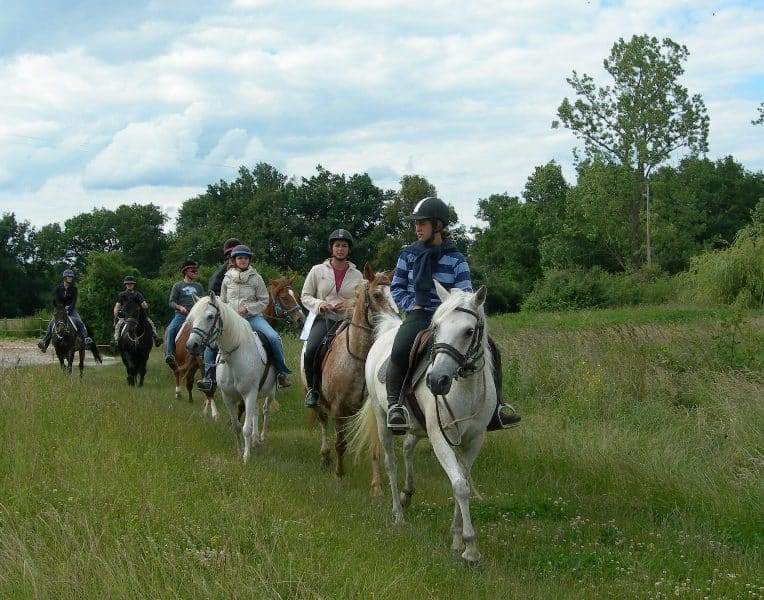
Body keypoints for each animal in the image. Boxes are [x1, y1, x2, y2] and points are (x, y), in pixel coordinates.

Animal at [184, 292, 280, 462]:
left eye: (210, 316)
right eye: (192, 317)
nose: (191, 345)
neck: (234, 358)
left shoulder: (249, 394)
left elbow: (246, 427)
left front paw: (246, 457)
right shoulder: (228, 397)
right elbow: (236, 425)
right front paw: (240, 450)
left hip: (270, 392)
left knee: (265, 410)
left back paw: (262, 437)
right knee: (255, 411)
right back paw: (255, 439)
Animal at [300, 264, 400, 480]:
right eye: (377, 295)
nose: (396, 322)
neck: (358, 358)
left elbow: (374, 446)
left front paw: (376, 483)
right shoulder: (338, 408)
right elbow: (340, 443)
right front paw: (339, 474)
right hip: (315, 398)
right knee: (322, 421)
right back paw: (325, 457)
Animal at [350, 282, 496, 564]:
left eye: (469, 331)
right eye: (436, 327)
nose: (437, 381)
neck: (465, 389)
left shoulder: (474, 440)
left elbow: (463, 480)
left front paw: (457, 538)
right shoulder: (439, 436)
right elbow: (459, 485)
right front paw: (470, 547)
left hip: (417, 427)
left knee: (408, 447)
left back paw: (408, 494)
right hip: (383, 420)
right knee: (391, 463)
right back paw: (398, 514)